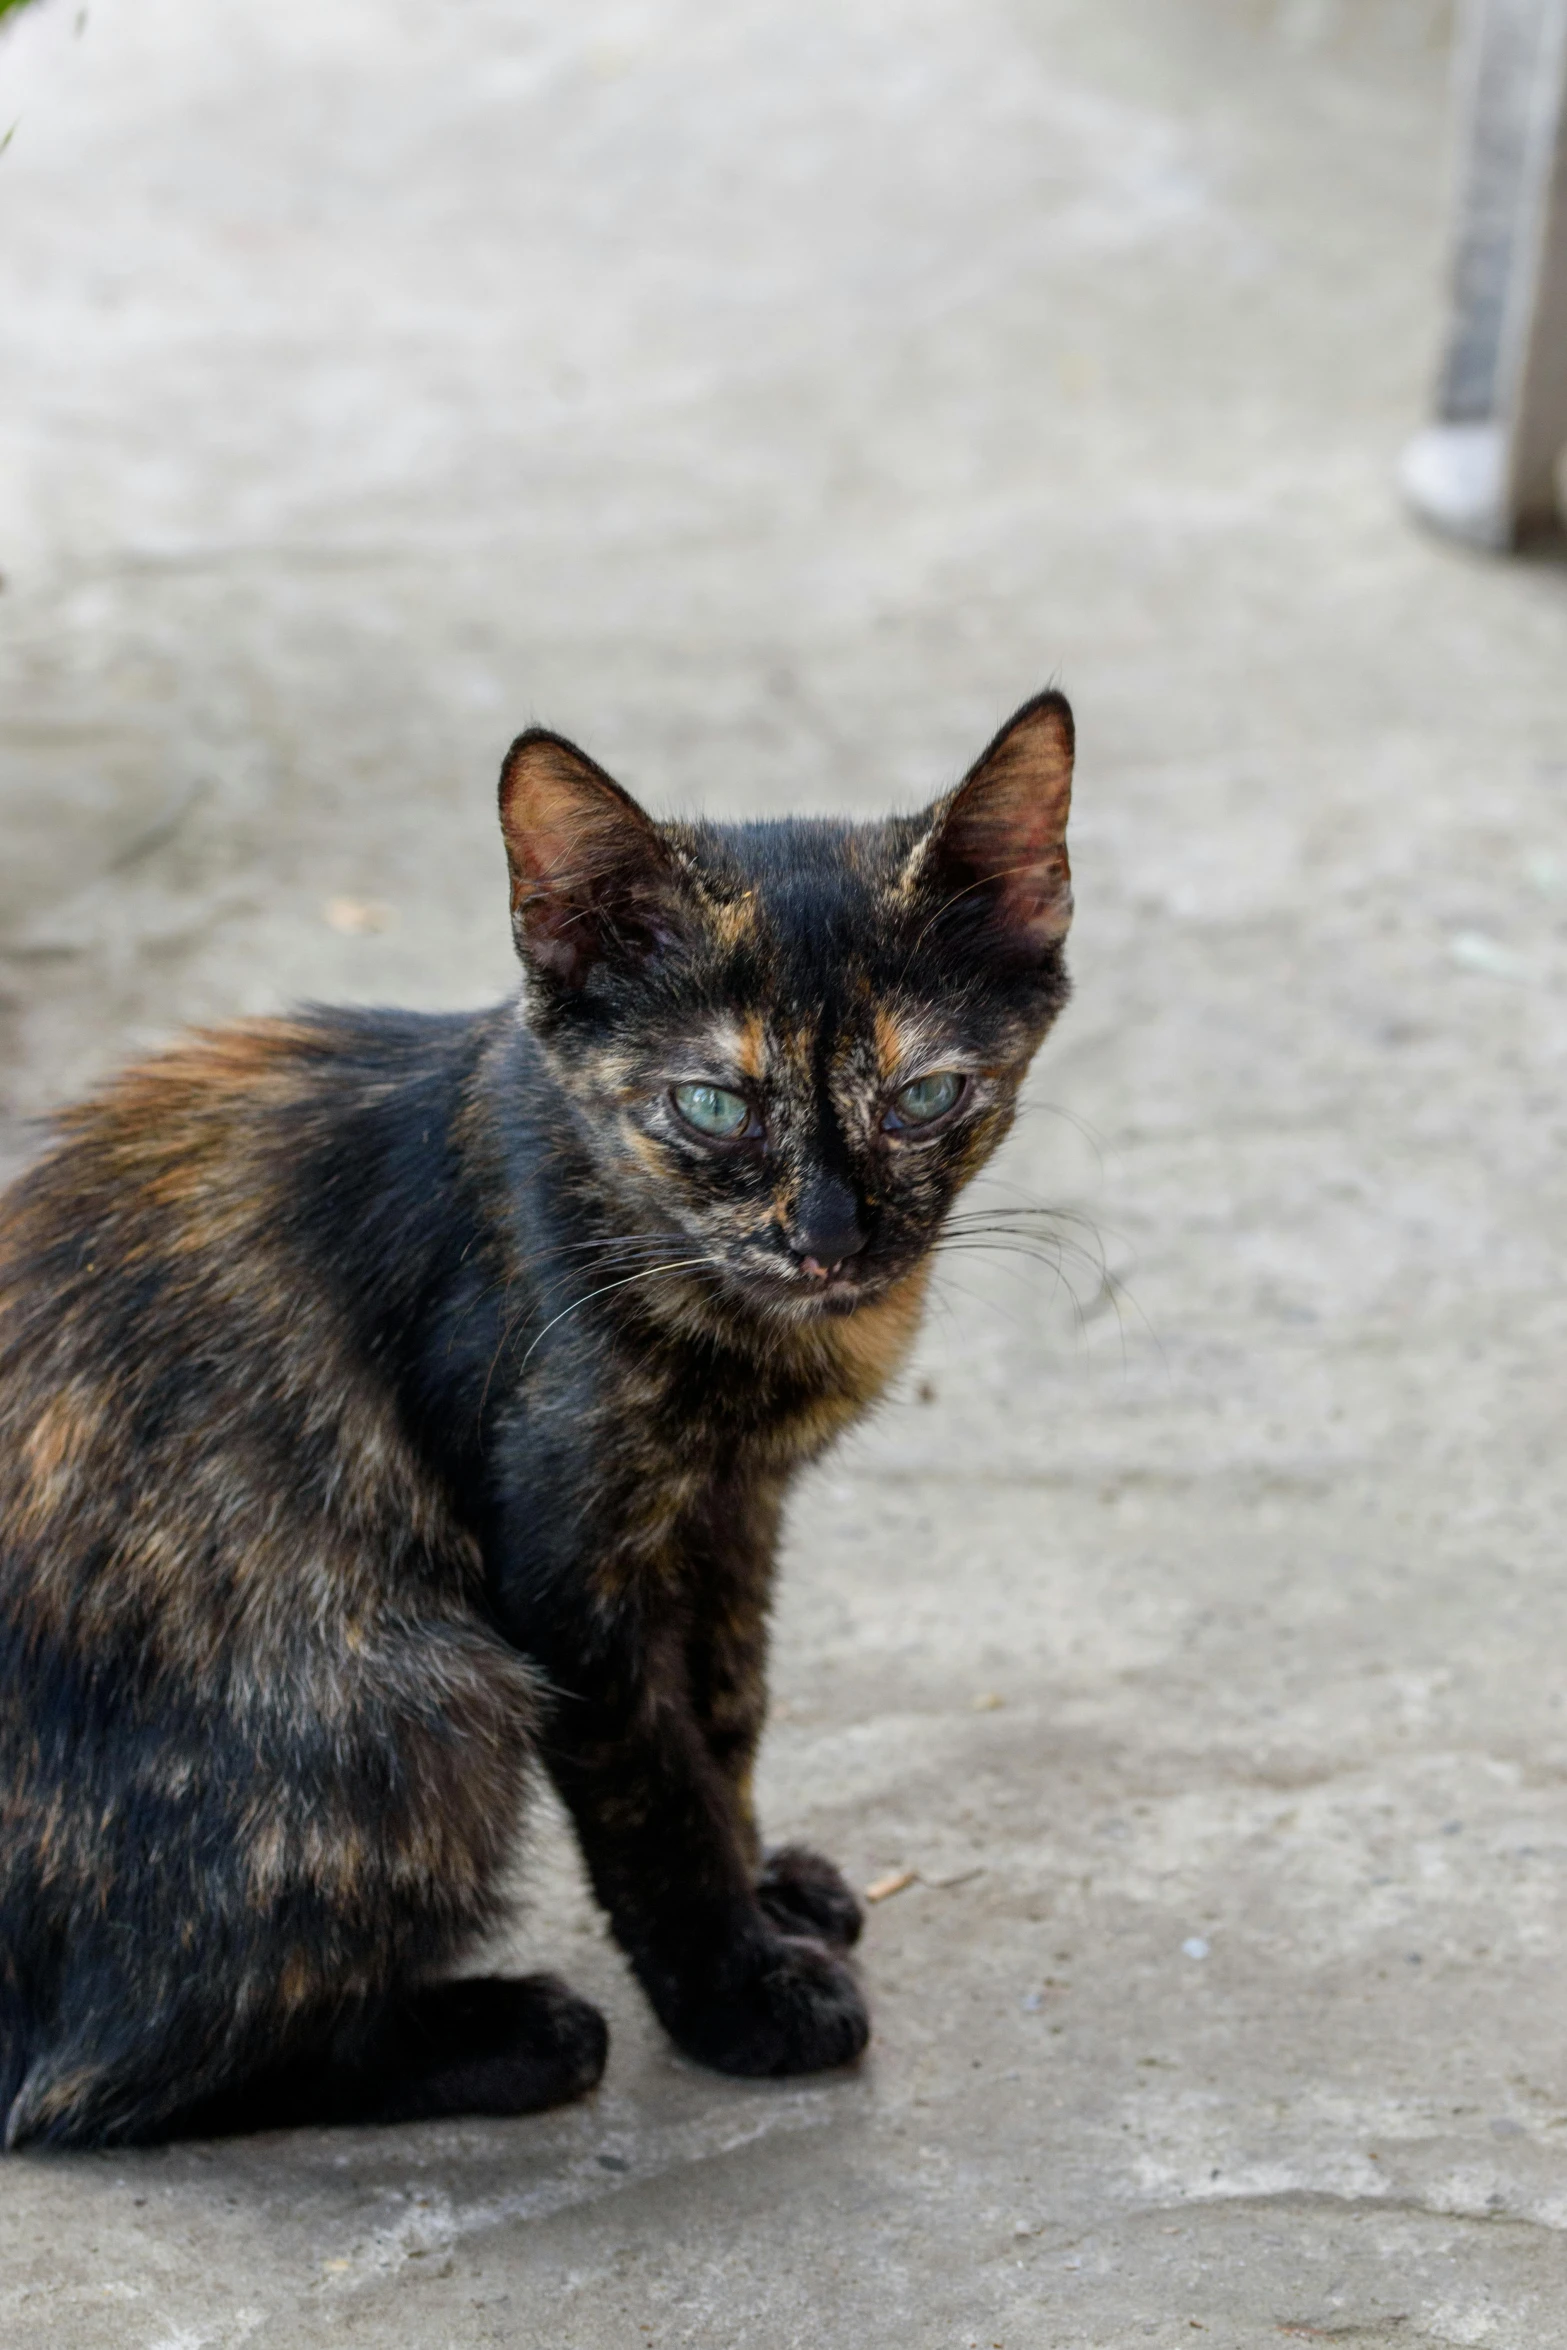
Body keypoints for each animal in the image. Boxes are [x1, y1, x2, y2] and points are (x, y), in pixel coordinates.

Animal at [0, 686, 1071, 2152]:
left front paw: (764, 1891)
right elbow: (653, 1792)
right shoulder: (565, 1575)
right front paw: (740, 1997)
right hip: (422, 1696)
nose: (828, 1240)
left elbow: (726, 1712)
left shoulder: (727, 1516)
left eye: (924, 1097)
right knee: (100, 2082)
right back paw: (513, 2035)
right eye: (710, 1104)